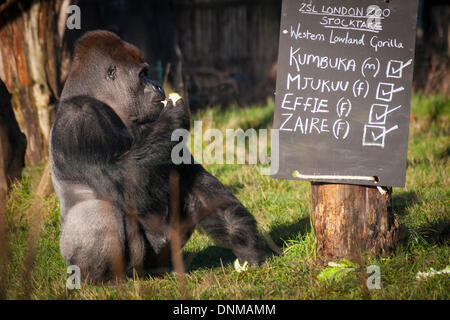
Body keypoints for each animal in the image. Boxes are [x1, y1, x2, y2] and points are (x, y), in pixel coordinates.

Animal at [50, 30, 268, 282]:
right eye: (143, 75)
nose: (157, 86)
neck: (104, 101)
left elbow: (192, 179)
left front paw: (247, 246)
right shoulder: (80, 119)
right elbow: (120, 181)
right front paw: (173, 116)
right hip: (89, 264)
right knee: (103, 209)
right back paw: (101, 279)